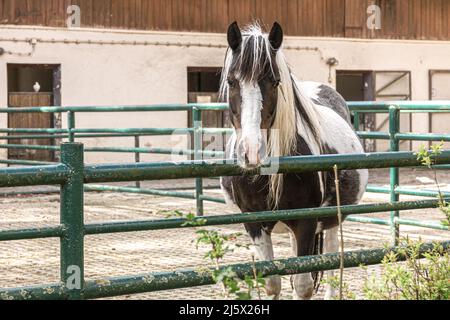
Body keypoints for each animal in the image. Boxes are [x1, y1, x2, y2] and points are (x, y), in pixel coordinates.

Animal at [219, 21, 370, 298]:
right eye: (231, 81)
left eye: (274, 81)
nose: (252, 151)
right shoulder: (253, 223)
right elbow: (272, 283)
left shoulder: (306, 223)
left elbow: (303, 285)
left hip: (331, 221)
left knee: (332, 262)